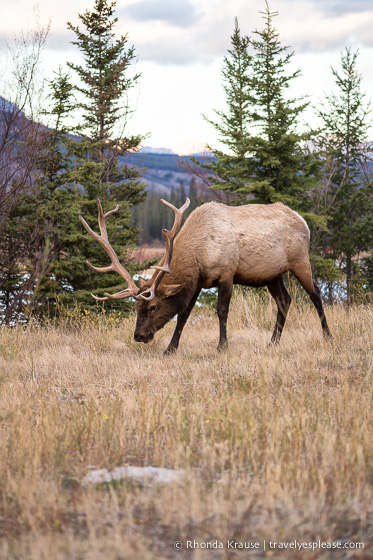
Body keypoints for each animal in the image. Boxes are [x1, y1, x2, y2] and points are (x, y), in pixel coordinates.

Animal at [80, 198, 330, 354]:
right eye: (136, 307)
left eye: (152, 307)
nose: (139, 336)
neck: (200, 254)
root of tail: (304, 222)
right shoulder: (197, 282)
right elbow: (183, 315)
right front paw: (170, 349)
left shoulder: (227, 273)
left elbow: (221, 311)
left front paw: (222, 346)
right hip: (272, 274)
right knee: (285, 300)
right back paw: (273, 343)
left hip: (300, 260)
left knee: (316, 294)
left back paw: (328, 336)